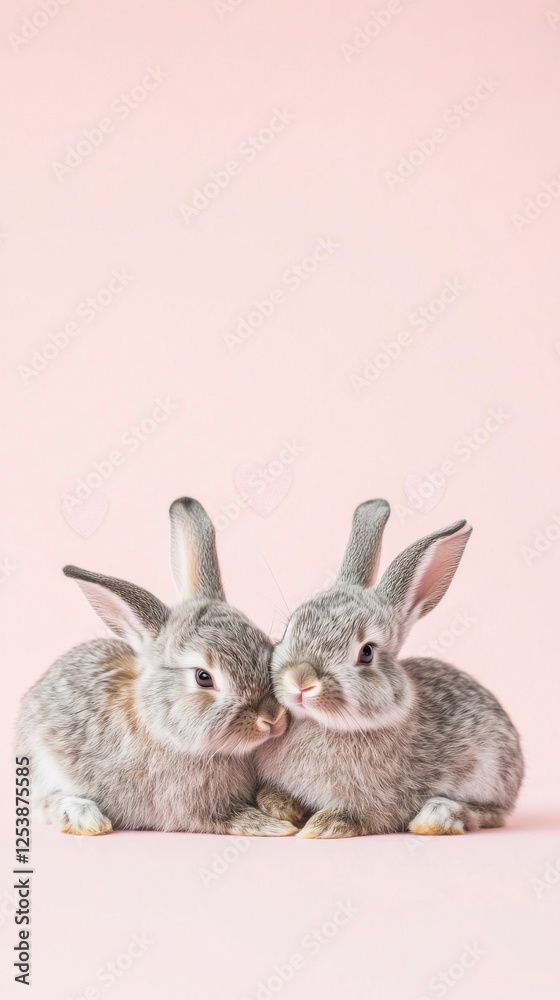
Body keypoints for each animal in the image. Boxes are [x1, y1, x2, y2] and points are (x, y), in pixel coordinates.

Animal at [17, 497, 297, 837]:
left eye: (266, 648)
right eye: (203, 677)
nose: (271, 718)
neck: (161, 729)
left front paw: (285, 806)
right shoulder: (192, 807)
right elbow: (228, 818)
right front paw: (275, 827)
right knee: (44, 803)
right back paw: (87, 818)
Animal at [255, 500, 524, 837]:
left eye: (367, 652)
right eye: (289, 628)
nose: (300, 679)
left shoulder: (382, 802)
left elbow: (362, 814)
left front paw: (320, 826)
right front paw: (279, 806)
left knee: (489, 813)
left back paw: (435, 818)